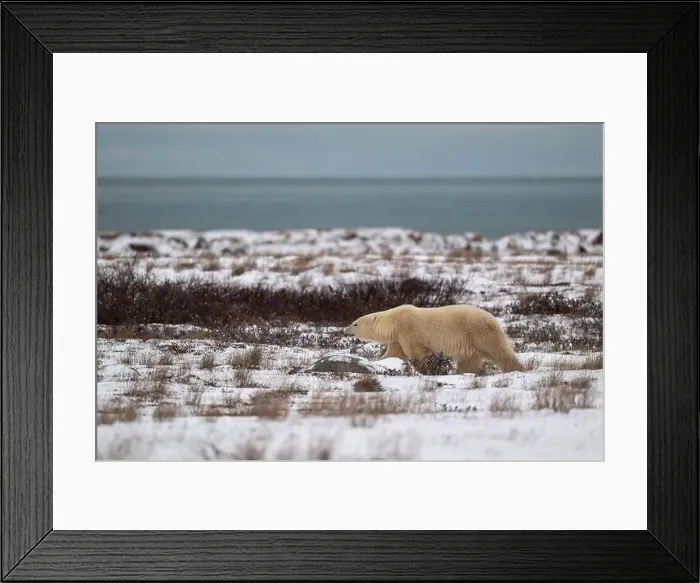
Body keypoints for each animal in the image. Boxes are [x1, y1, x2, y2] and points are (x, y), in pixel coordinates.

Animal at [344, 304, 522, 374]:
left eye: (355, 323)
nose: (345, 331)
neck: (394, 321)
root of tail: (494, 319)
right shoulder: (398, 337)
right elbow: (394, 353)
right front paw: (378, 362)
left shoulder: (409, 330)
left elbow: (418, 352)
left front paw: (426, 369)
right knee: (468, 359)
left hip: (478, 332)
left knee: (499, 351)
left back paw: (516, 368)